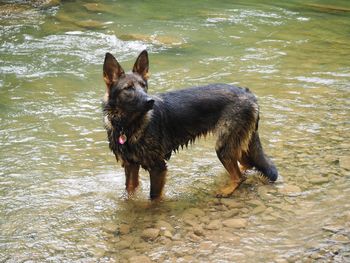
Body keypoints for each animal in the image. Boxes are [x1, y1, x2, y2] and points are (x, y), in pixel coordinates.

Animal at [102, 50, 278, 201]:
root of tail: (248, 93)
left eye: (143, 86)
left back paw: (227, 190)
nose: (149, 101)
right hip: (235, 143)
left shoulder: (158, 167)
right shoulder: (130, 166)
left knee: (240, 177)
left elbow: (154, 198)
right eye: (128, 88)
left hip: (224, 146)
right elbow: (129, 192)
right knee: (247, 164)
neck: (128, 125)